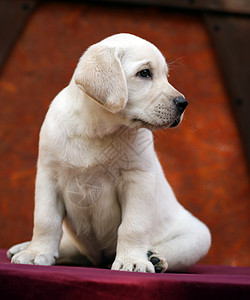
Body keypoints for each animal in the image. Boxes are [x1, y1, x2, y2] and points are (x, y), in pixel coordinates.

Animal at [7, 34, 210, 274]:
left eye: (166, 76)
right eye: (144, 73)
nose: (183, 103)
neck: (96, 130)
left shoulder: (138, 180)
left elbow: (133, 226)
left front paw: (133, 260)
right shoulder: (48, 176)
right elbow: (45, 220)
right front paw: (35, 253)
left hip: (199, 236)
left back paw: (154, 258)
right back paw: (23, 246)